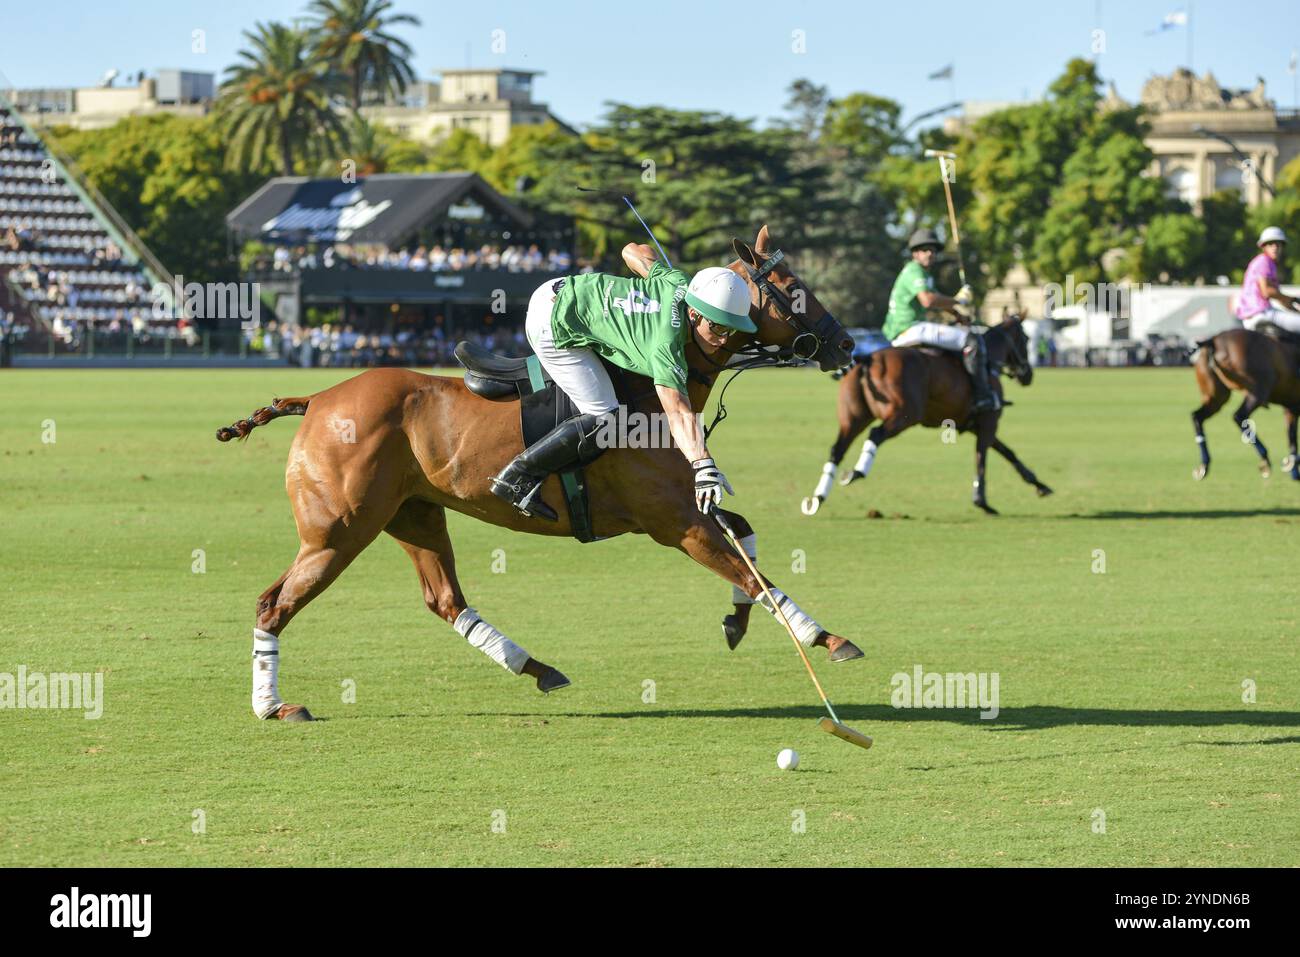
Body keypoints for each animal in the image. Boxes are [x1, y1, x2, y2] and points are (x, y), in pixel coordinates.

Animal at [214, 226, 863, 717]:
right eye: (795, 290)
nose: (848, 345)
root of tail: (319, 398)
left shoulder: (685, 510)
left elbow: (743, 534)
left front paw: (737, 621)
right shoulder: (674, 523)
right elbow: (754, 573)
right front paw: (825, 637)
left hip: (411, 515)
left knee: (445, 600)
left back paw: (537, 667)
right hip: (338, 531)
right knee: (273, 605)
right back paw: (274, 707)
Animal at [800, 314, 1045, 514]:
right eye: (1026, 339)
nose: (1028, 375)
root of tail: (867, 358)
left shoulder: (976, 425)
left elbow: (1009, 453)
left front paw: (1040, 485)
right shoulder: (988, 423)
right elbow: (982, 459)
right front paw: (981, 501)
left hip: (853, 419)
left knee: (837, 450)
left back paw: (818, 498)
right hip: (904, 414)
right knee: (876, 434)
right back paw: (857, 472)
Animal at [1190, 327, 1294, 478]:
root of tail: (1213, 340)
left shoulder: (1291, 406)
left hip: (1216, 397)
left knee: (1197, 416)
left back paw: (1204, 465)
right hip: (1257, 392)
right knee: (1239, 416)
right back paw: (1265, 459)